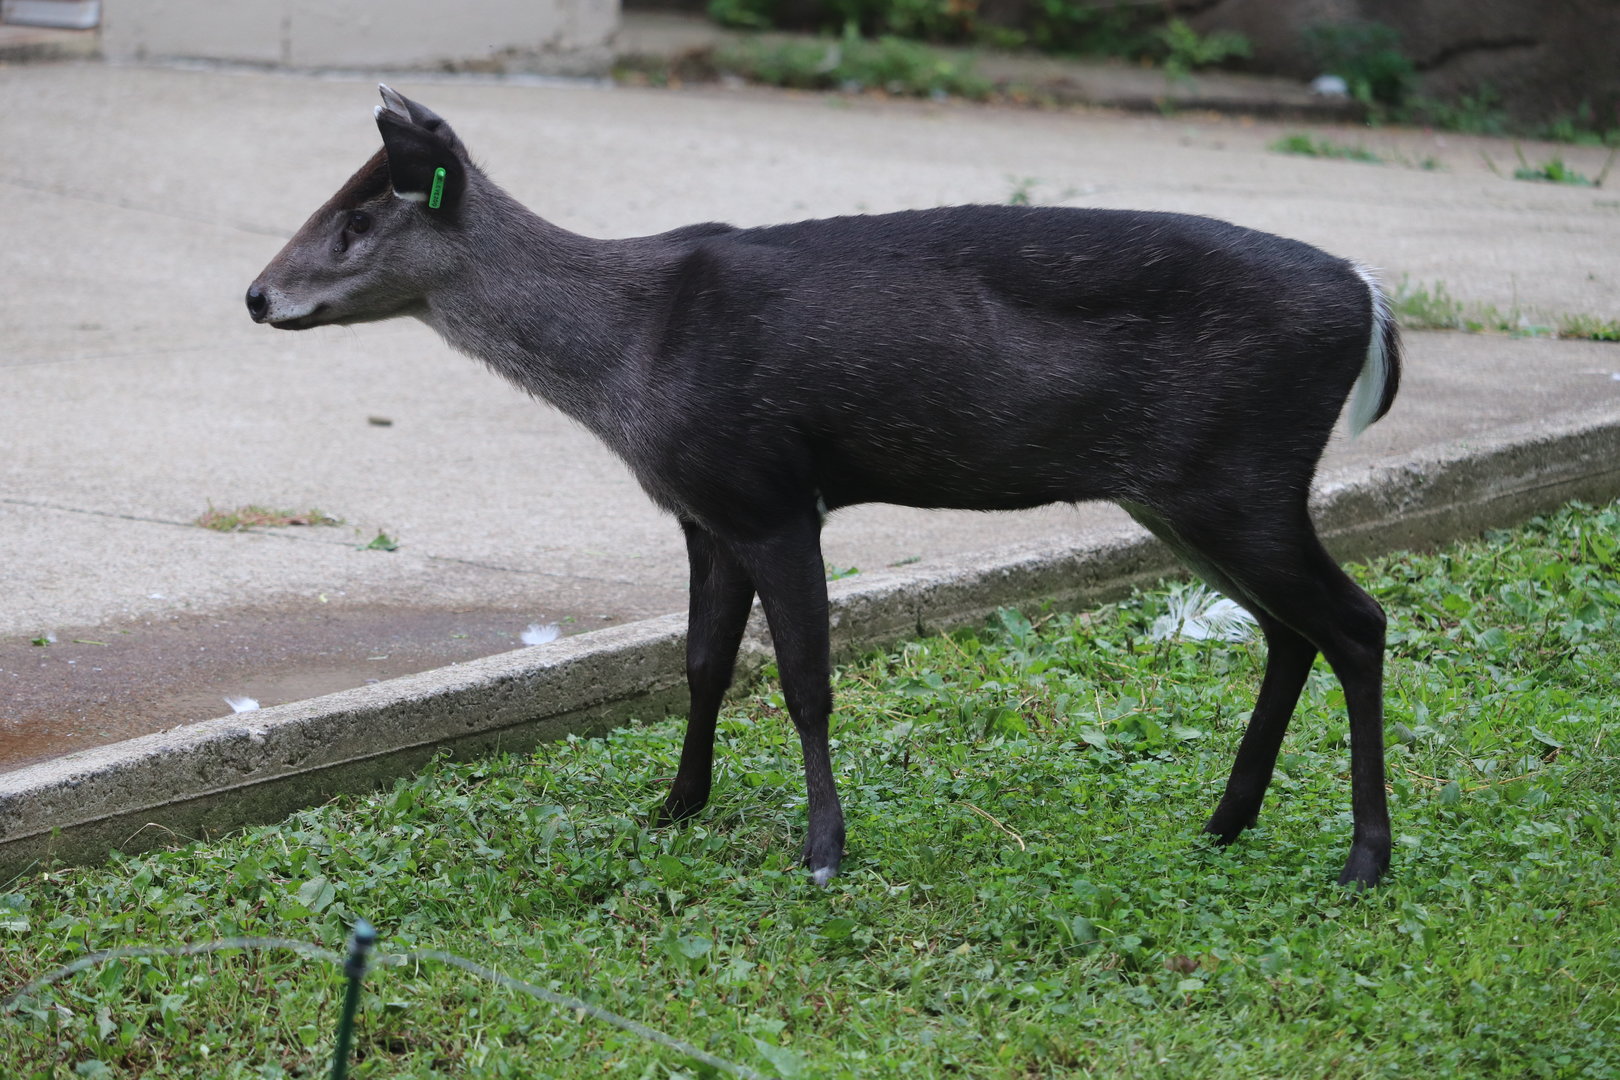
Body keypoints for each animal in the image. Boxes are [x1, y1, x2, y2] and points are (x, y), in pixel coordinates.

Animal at [248, 85, 1402, 888]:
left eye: (358, 220)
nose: (257, 295)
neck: (632, 354)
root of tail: (1369, 297)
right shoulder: (704, 513)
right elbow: (704, 664)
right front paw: (676, 804)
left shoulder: (770, 492)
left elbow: (806, 679)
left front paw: (824, 848)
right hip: (1187, 492)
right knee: (1290, 629)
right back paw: (1226, 820)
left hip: (1240, 477)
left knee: (1357, 620)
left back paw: (1363, 858)